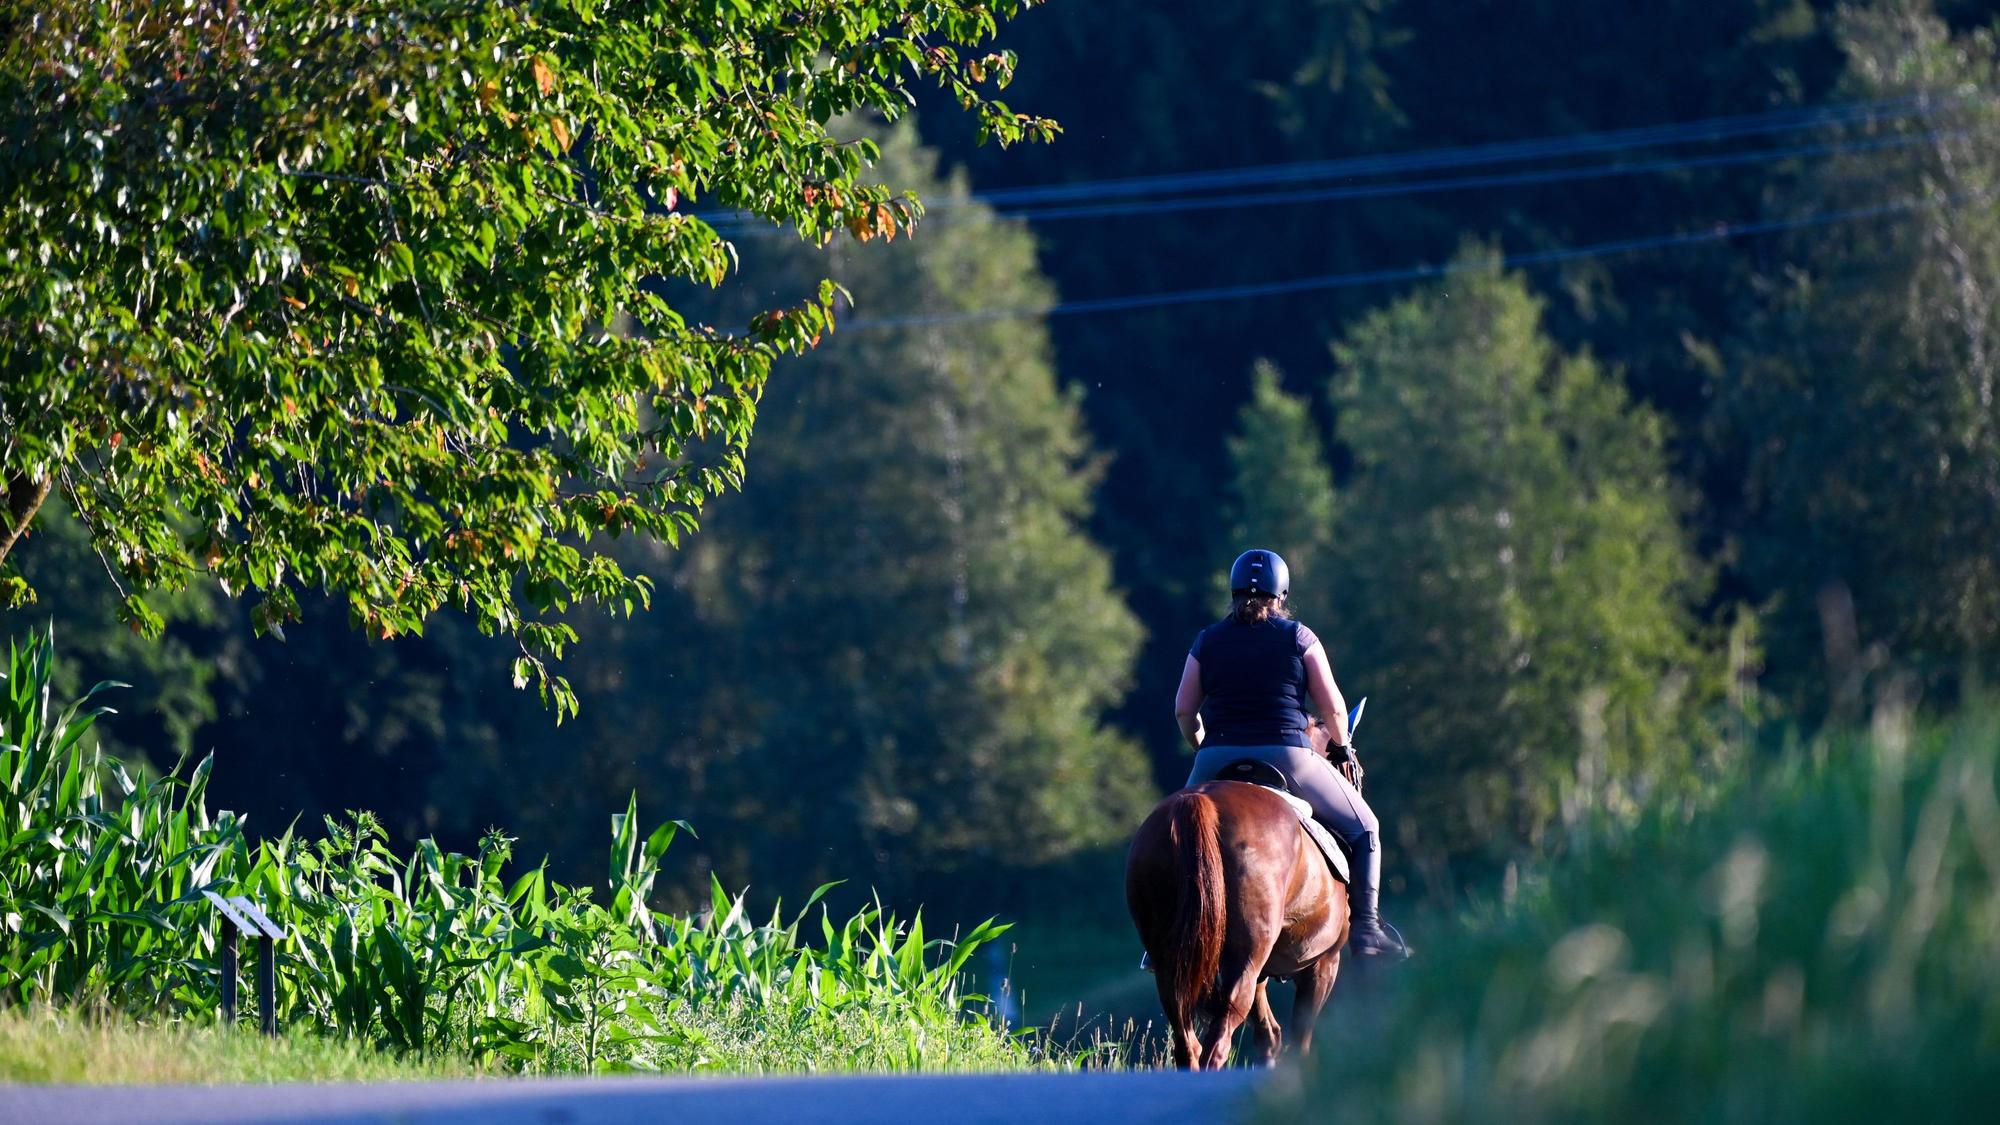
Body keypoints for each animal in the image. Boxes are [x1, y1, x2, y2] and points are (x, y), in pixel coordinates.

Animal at [1124, 718, 1350, 1070]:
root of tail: (1199, 802)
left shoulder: (1264, 971)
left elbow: (1268, 1034)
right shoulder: (1323, 963)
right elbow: (1299, 1038)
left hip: (1171, 962)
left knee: (1187, 1042)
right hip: (1247, 956)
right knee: (1217, 1041)